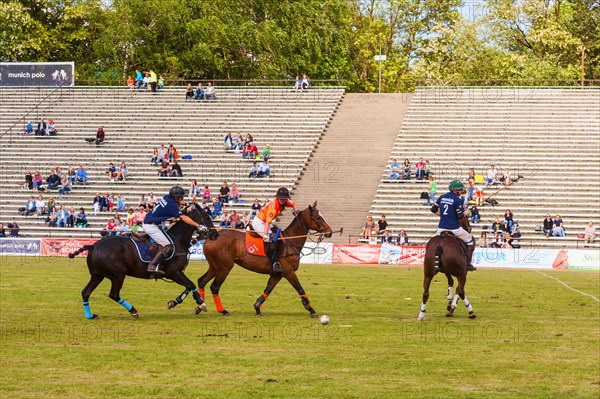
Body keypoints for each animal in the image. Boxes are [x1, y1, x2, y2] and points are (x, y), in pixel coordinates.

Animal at [69, 205, 218, 320]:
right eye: (206, 216)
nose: (216, 234)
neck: (178, 240)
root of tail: (93, 246)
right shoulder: (173, 272)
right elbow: (191, 284)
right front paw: (201, 304)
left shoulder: (176, 273)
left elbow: (188, 286)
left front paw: (174, 302)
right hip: (117, 276)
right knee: (113, 294)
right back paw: (133, 311)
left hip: (98, 275)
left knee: (86, 292)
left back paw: (90, 315)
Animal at [200, 203, 332, 318]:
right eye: (318, 217)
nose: (329, 231)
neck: (290, 241)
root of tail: (210, 237)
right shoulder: (289, 272)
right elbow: (300, 289)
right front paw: (311, 310)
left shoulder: (277, 274)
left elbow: (268, 289)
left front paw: (257, 308)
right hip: (224, 268)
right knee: (214, 287)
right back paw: (222, 311)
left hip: (214, 267)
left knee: (202, 281)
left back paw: (200, 307)